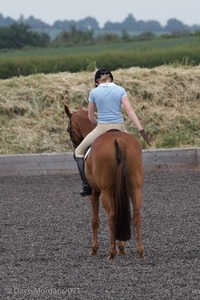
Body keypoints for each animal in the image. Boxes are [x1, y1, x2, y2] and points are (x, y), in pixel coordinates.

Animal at [65, 104, 145, 258]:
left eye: (69, 129)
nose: (74, 147)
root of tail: (119, 139)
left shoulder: (94, 193)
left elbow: (95, 220)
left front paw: (94, 249)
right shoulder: (118, 192)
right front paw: (122, 246)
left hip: (106, 192)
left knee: (112, 216)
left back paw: (111, 253)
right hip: (135, 189)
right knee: (136, 216)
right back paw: (140, 251)